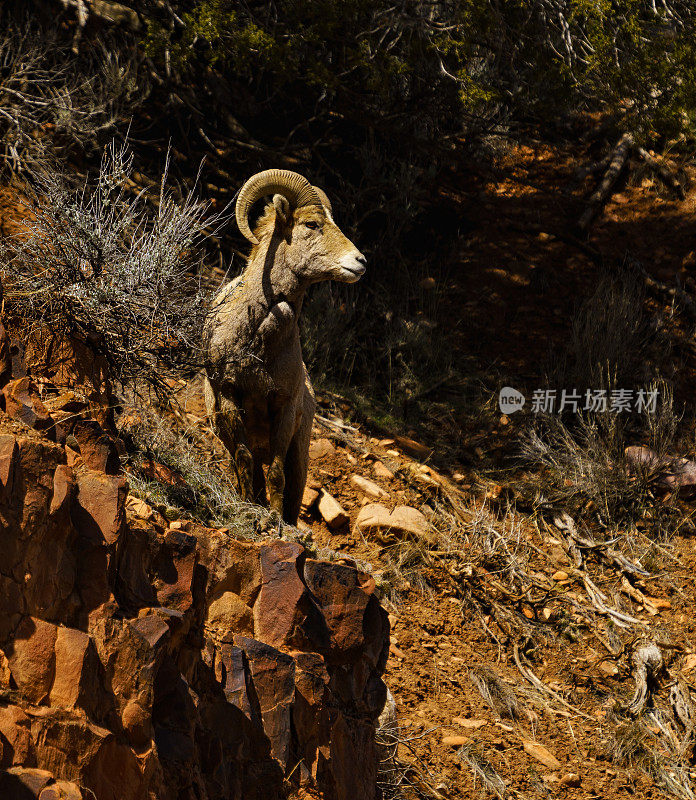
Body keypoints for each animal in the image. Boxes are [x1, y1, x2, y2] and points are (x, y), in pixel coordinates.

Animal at [204, 167, 368, 524]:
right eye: (311, 224)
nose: (360, 262)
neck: (257, 347)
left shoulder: (283, 407)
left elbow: (276, 474)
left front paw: (276, 522)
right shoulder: (229, 397)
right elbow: (244, 461)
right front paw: (249, 510)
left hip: (300, 455)